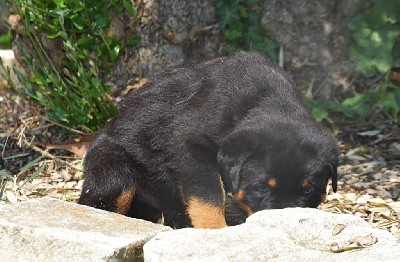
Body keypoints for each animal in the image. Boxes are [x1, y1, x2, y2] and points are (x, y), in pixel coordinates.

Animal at [79, 52, 340, 228]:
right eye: (263, 187)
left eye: (309, 189)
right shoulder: (191, 147)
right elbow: (209, 198)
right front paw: (217, 231)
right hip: (115, 173)